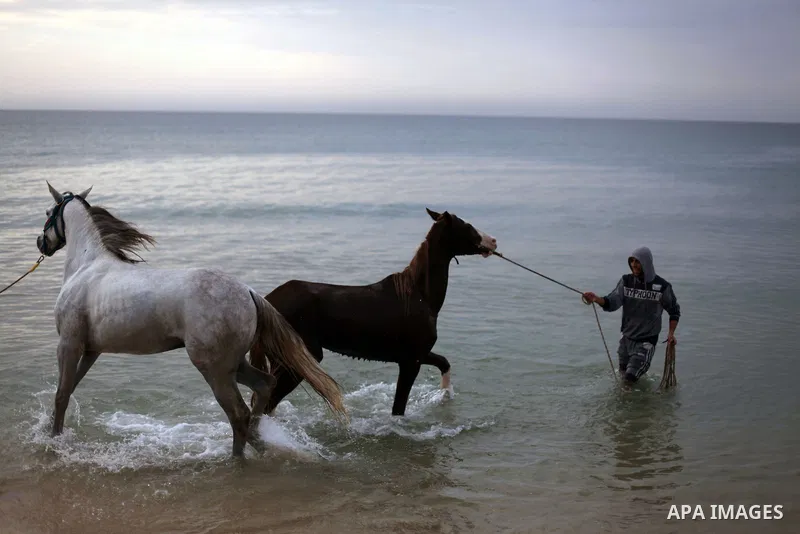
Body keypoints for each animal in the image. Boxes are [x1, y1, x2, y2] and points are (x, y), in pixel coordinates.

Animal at [35, 182, 347, 458]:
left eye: (48, 212)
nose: (41, 243)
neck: (87, 268)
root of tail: (249, 292)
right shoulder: (91, 350)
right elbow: (70, 388)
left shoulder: (69, 344)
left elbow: (61, 394)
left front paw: (54, 439)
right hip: (234, 364)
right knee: (264, 386)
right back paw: (260, 442)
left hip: (214, 368)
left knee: (239, 413)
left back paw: (237, 458)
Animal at [249, 208, 497, 417]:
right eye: (467, 226)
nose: (493, 241)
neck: (419, 294)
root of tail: (265, 301)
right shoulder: (411, 361)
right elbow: (399, 407)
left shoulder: (416, 354)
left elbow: (444, 362)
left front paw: (446, 394)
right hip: (298, 360)